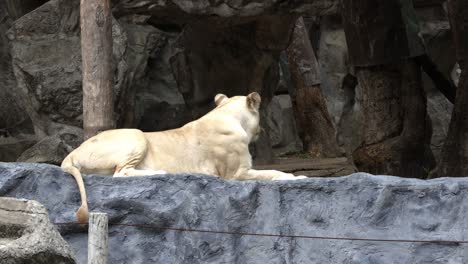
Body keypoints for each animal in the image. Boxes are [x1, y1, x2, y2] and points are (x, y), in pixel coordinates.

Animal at [62, 93, 308, 223]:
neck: (227, 115)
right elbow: (272, 172)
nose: (263, 130)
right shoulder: (235, 174)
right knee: (119, 174)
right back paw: (160, 172)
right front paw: (297, 178)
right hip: (136, 134)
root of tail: (71, 154)